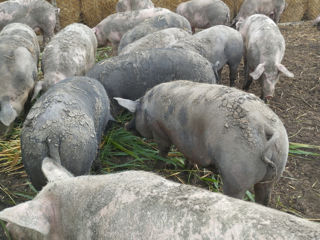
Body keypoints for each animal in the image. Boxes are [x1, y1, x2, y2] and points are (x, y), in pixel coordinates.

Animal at [115, 80, 290, 204]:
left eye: (134, 114)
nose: (125, 125)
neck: (146, 108)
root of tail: (268, 129)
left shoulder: (160, 132)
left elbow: (163, 151)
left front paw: (155, 168)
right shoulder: (190, 144)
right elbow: (190, 158)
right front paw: (187, 173)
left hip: (237, 174)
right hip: (274, 172)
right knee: (264, 198)